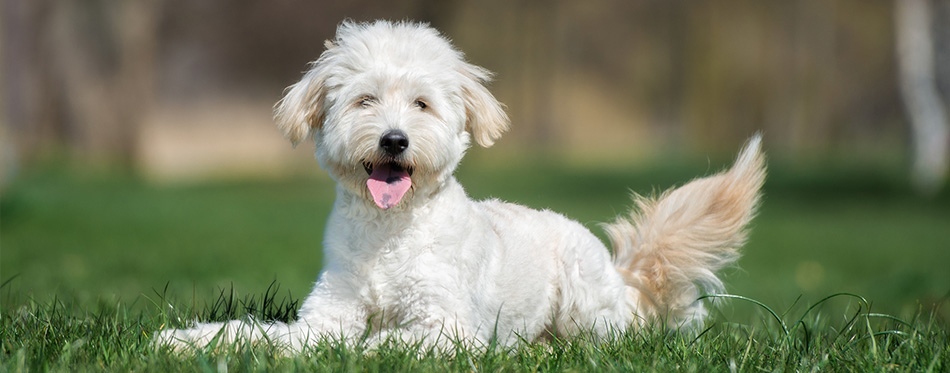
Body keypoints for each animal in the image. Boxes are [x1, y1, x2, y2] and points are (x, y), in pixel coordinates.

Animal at [154, 20, 768, 352]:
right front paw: (188, 340)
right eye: (365, 100)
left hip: (586, 305)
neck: (390, 235)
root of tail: (621, 277)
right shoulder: (329, 314)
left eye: (422, 104)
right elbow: (262, 335)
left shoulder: (447, 323)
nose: (394, 140)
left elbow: (392, 341)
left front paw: (370, 349)